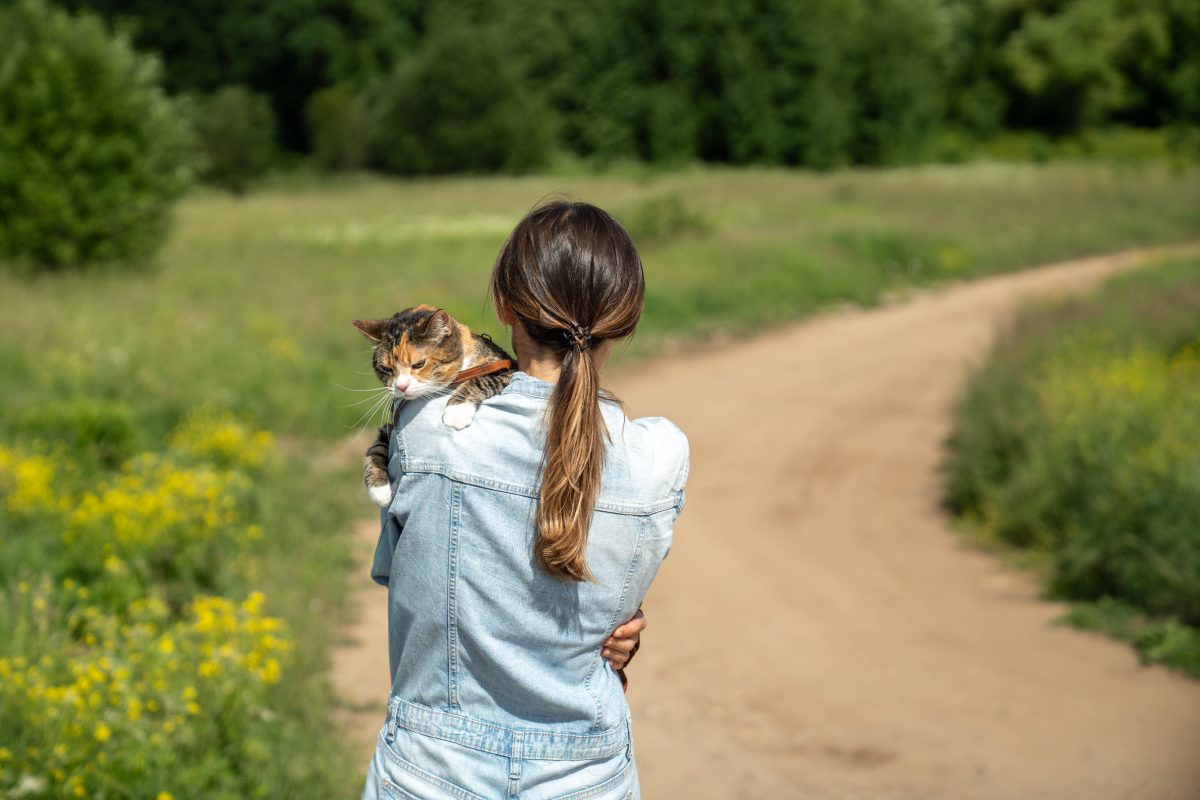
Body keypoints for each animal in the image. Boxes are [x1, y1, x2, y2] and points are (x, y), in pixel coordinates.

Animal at [350, 304, 513, 506]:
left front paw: (456, 412)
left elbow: (481, 378)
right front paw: (378, 489)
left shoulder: (505, 370)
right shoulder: (391, 426)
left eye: (419, 364)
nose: (401, 386)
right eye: (386, 368)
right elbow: (377, 445)